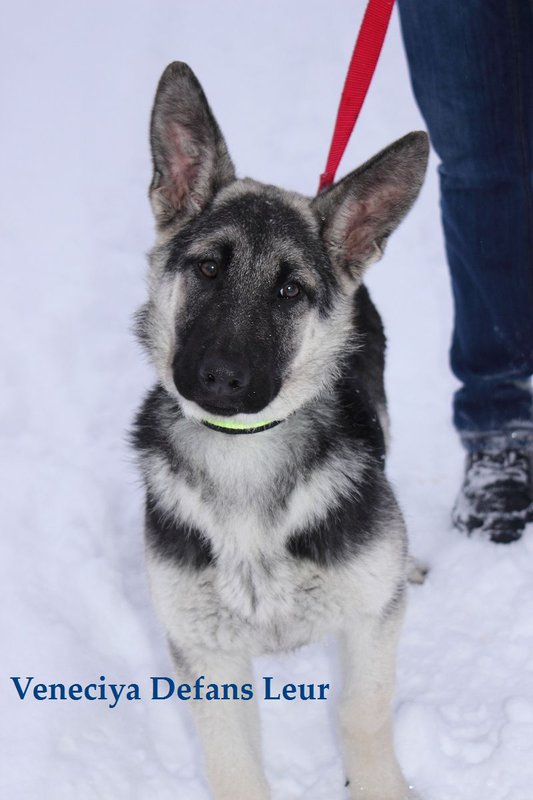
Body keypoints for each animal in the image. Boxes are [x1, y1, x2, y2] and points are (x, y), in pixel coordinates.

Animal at [132, 59, 428, 796]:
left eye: (290, 291)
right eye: (208, 267)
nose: (220, 379)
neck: (245, 454)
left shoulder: (369, 622)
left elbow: (361, 711)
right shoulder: (205, 652)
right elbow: (232, 763)